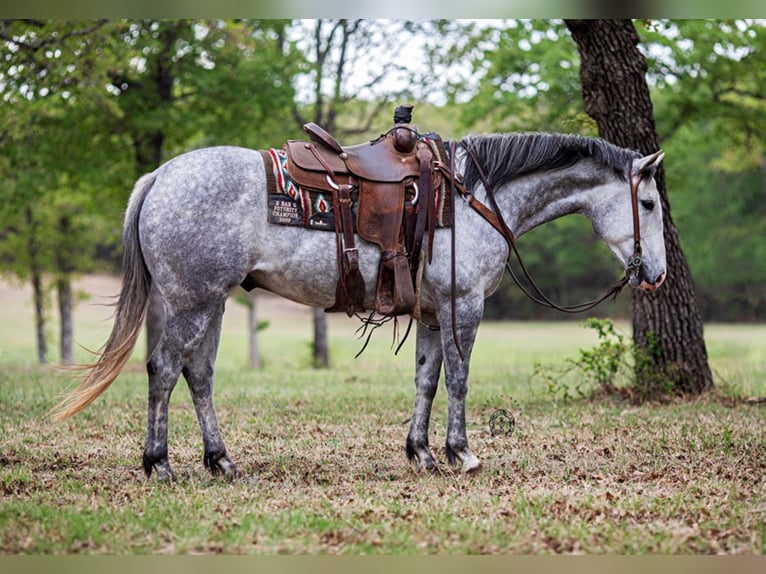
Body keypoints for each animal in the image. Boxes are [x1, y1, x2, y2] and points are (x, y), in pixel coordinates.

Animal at [52, 132, 664, 482]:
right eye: (651, 202)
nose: (655, 275)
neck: (471, 195)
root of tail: (160, 176)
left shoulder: (431, 312)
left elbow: (426, 379)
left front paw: (420, 454)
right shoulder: (461, 305)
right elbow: (459, 378)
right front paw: (461, 453)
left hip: (213, 303)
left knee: (197, 375)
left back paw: (220, 461)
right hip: (190, 302)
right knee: (162, 370)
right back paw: (158, 464)